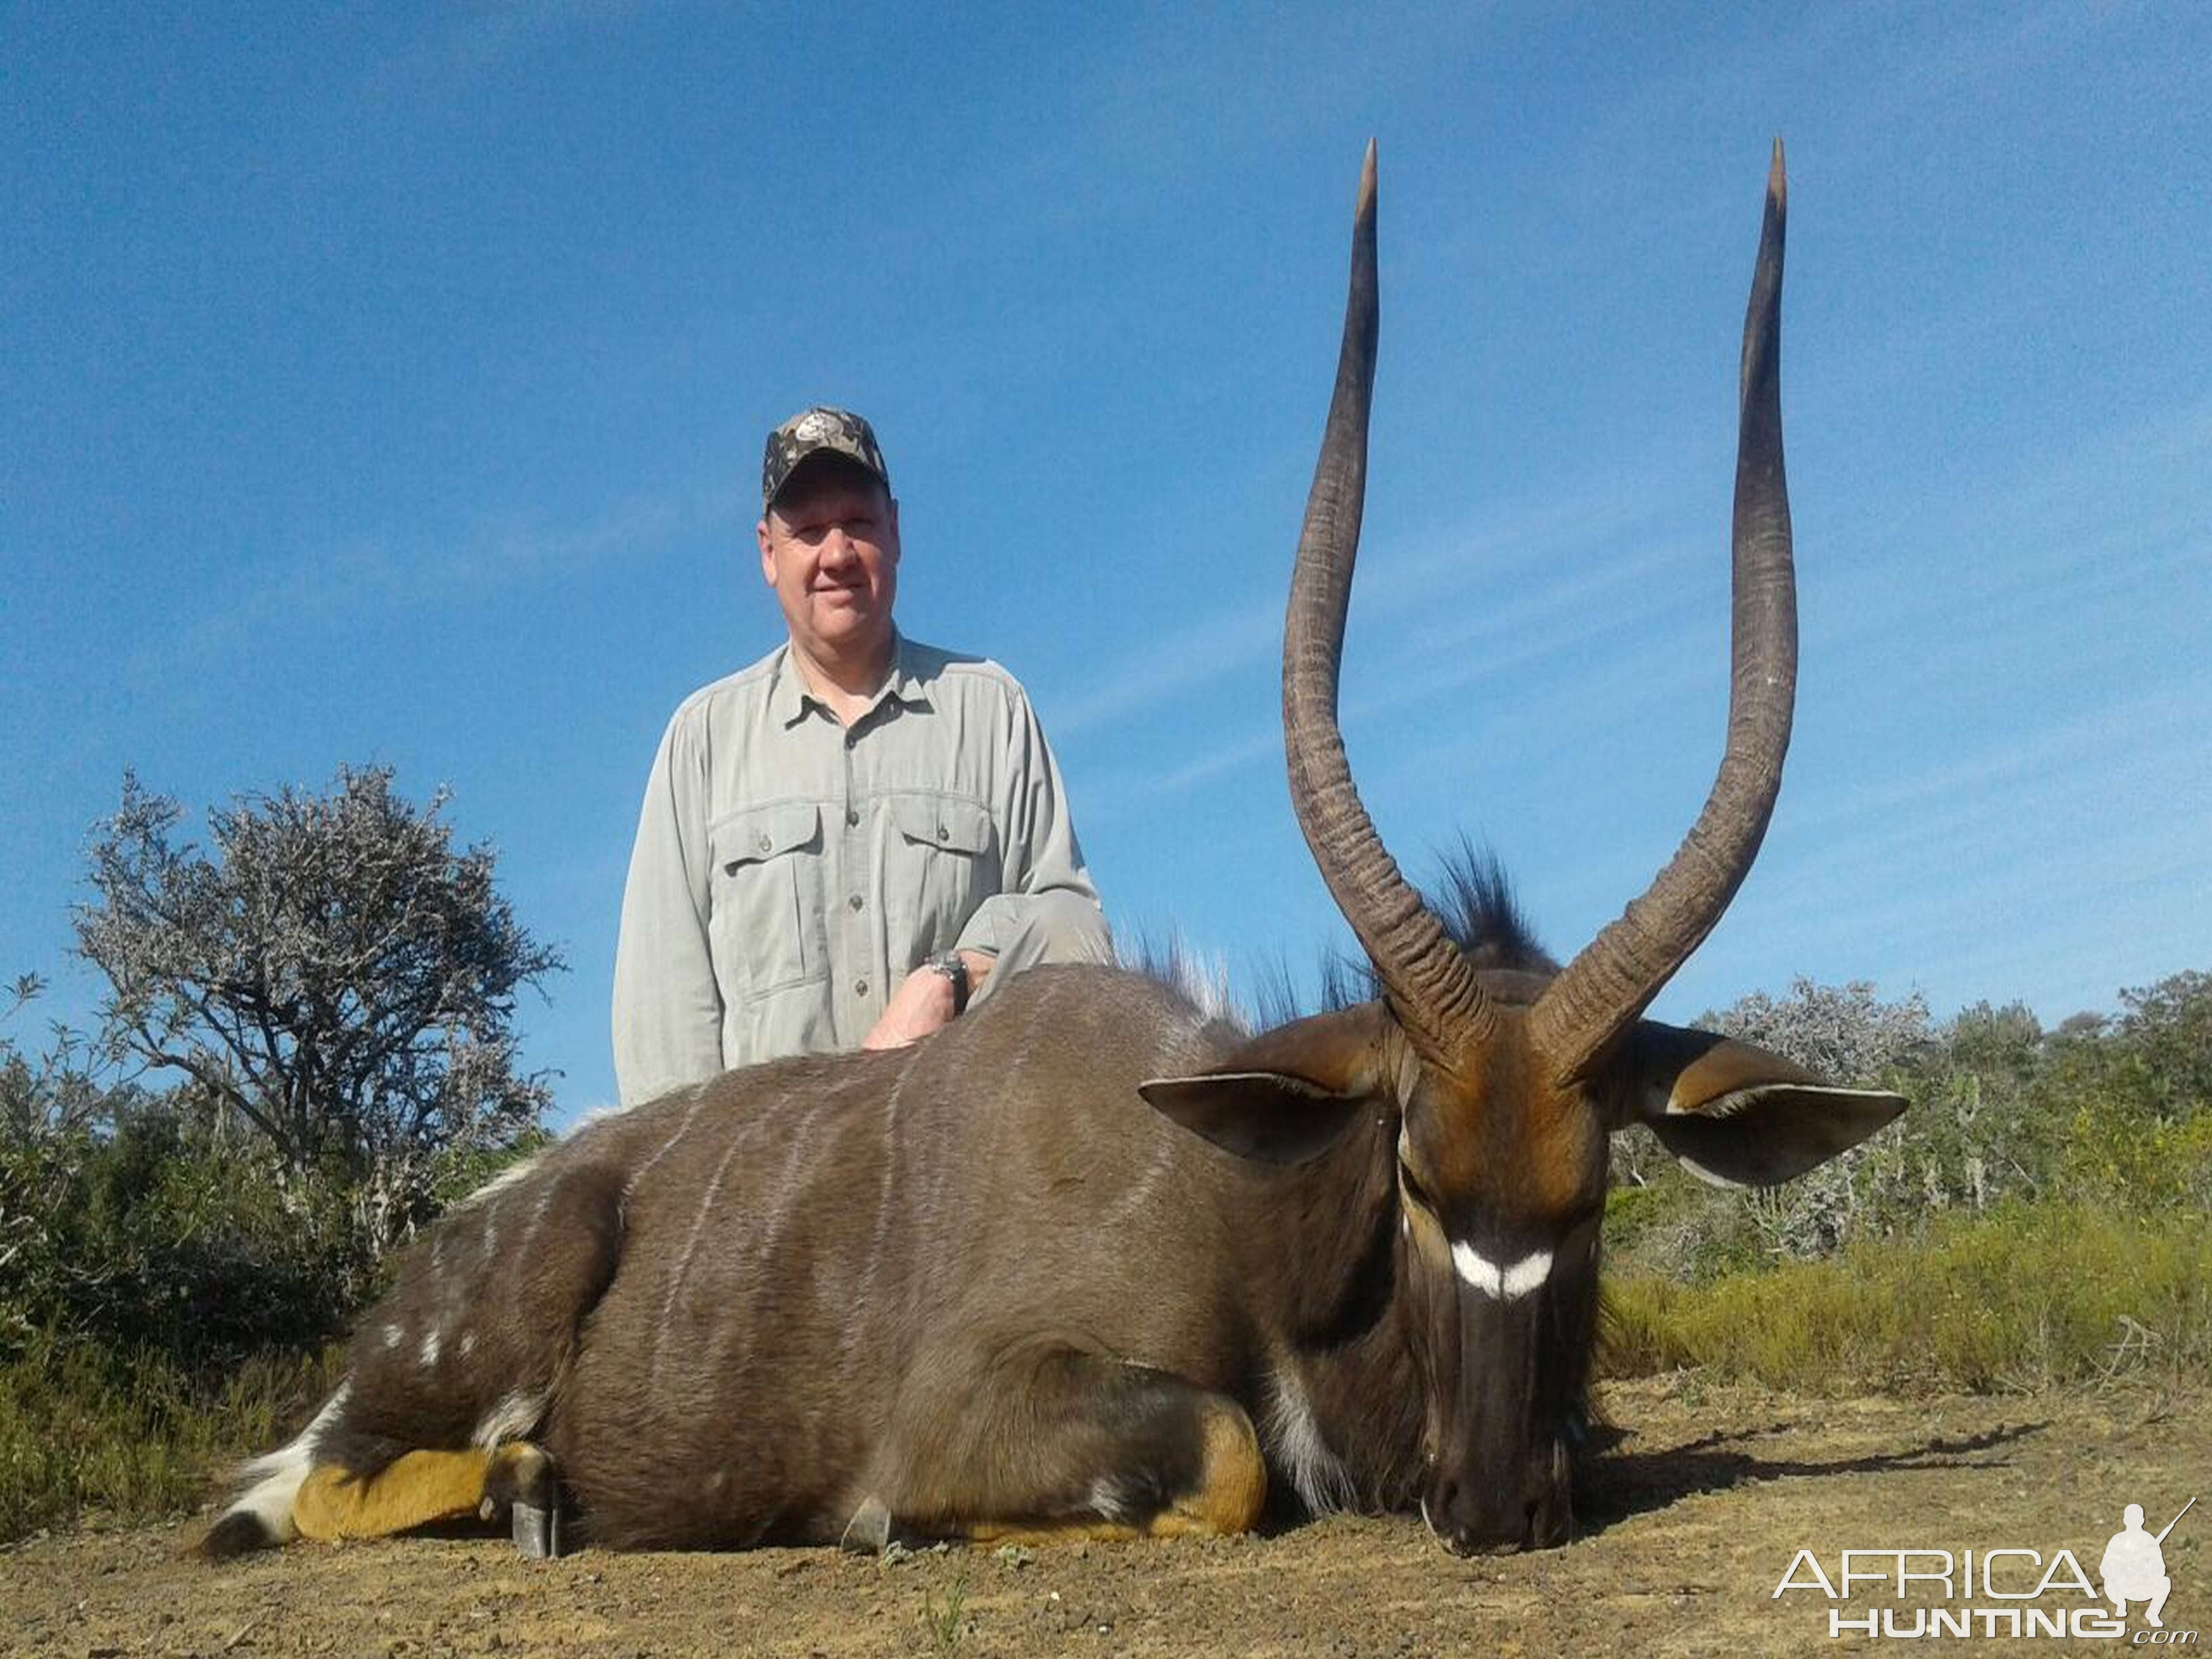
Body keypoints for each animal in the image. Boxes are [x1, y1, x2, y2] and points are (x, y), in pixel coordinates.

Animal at [203, 140, 1902, 1557]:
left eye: (1595, 1190)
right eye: (1415, 1175)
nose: (1496, 1504)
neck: (1240, 1209)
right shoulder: (990, 1404)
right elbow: (1226, 1458)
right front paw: (896, 1529)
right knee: (278, 1495)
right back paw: (523, 1488)